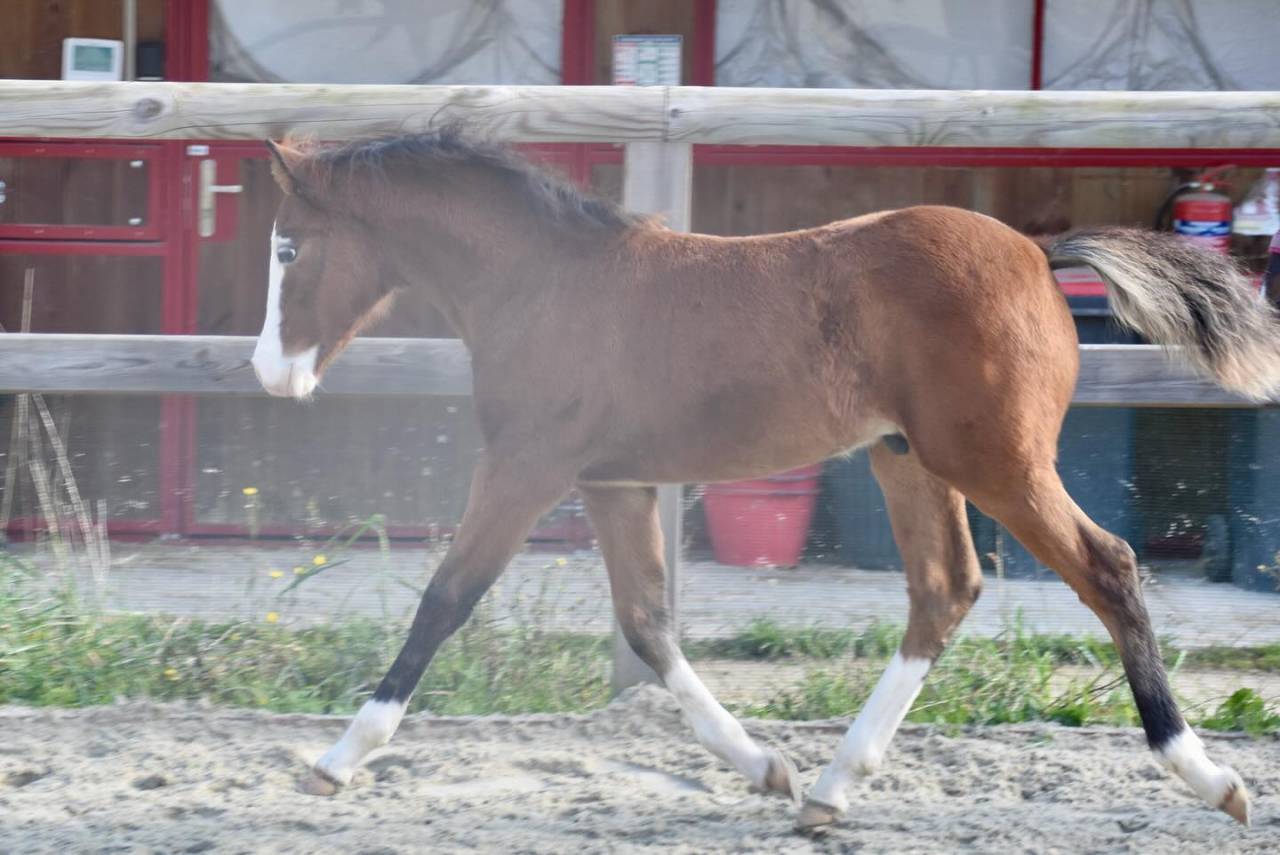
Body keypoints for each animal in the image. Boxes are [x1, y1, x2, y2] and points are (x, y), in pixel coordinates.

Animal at [250, 128, 1278, 830]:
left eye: (289, 247)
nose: (269, 373)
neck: (545, 285)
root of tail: (1036, 251)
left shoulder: (525, 465)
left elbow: (446, 597)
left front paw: (336, 758)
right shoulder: (611, 480)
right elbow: (648, 623)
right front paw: (765, 767)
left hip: (995, 459)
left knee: (1105, 566)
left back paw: (1210, 775)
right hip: (907, 458)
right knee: (944, 588)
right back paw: (829, 785)